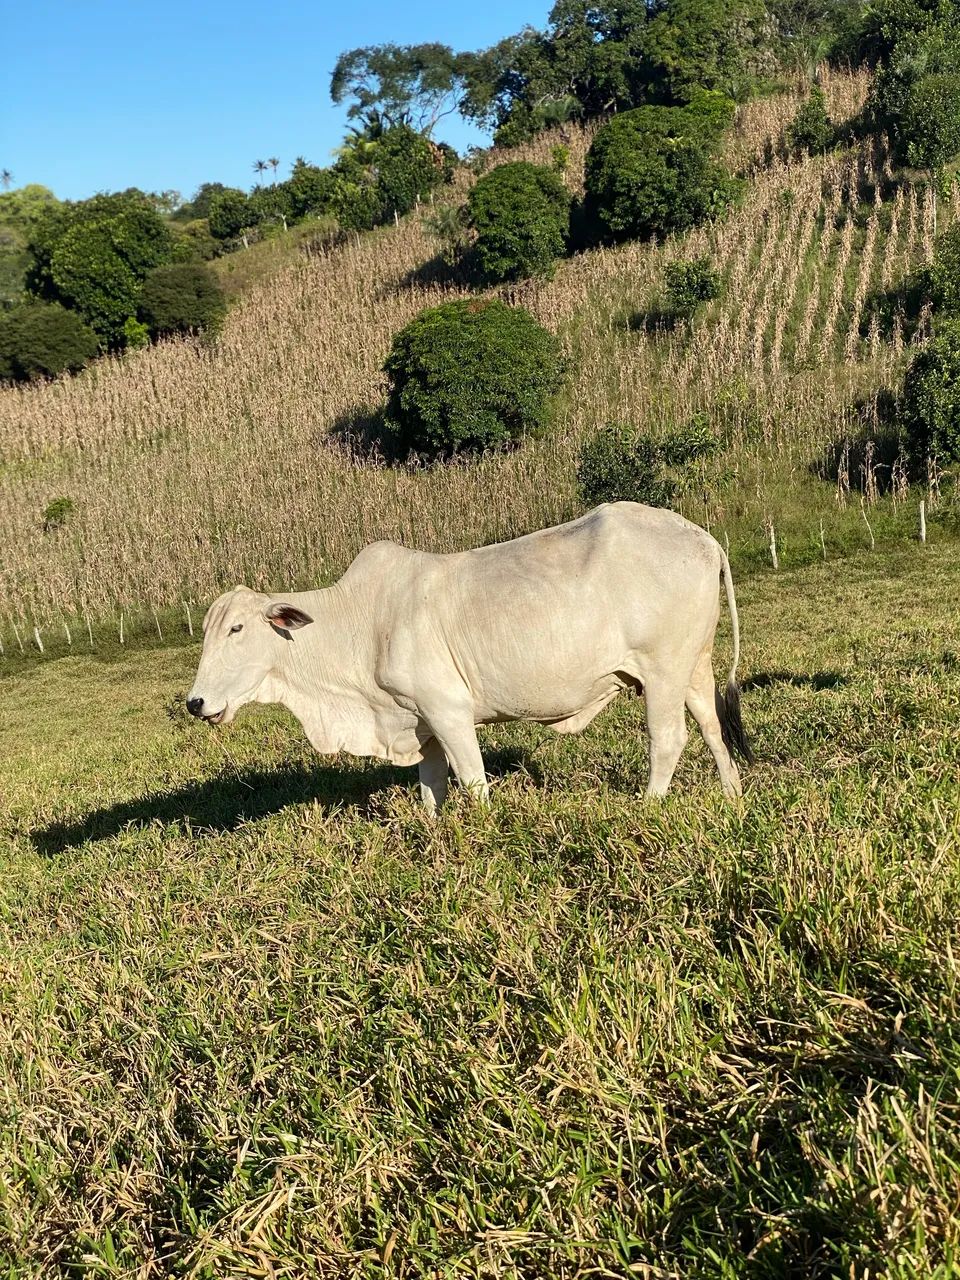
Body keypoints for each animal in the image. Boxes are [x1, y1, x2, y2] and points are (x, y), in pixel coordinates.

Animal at [186, 503, 753, 810]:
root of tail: (704, 539)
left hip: (661, 671)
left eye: (237, 628)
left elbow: (474, 783)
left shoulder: (449, 711)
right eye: (210, 631)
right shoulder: (421, 722)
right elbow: (431, 788)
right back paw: (732, 796)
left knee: (669, 739)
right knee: (712, 726)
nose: (195, 703)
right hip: (692, 666)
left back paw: (648, 805)